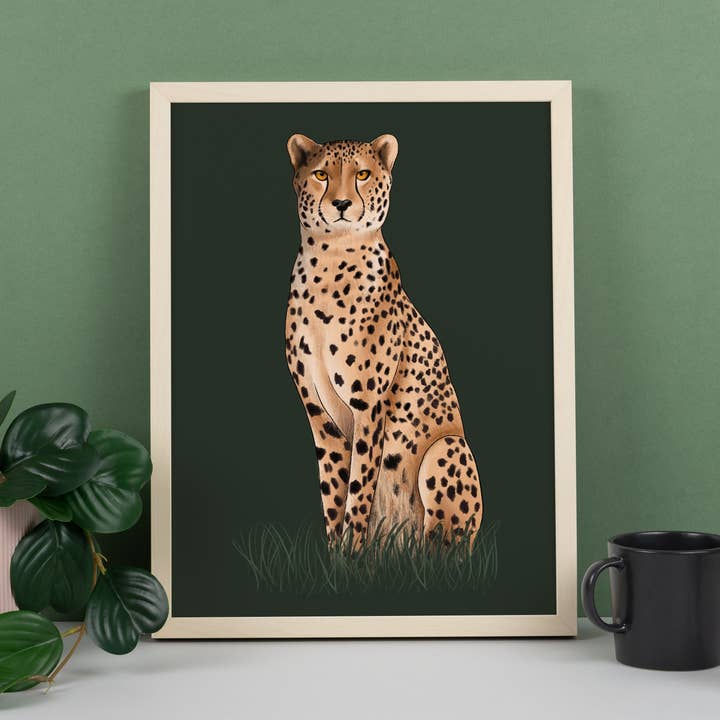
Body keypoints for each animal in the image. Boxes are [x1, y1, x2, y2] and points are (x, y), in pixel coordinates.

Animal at [285, 133, 483, 550]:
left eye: (362, 174)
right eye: (321, 174)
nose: (342, 204)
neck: (331, 261)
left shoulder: (369, 406)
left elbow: (359, 487)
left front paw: (353, 552)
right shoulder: (319, 413)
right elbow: (334, 489)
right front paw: (337, 555)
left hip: (447, 449)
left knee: (442, 546)